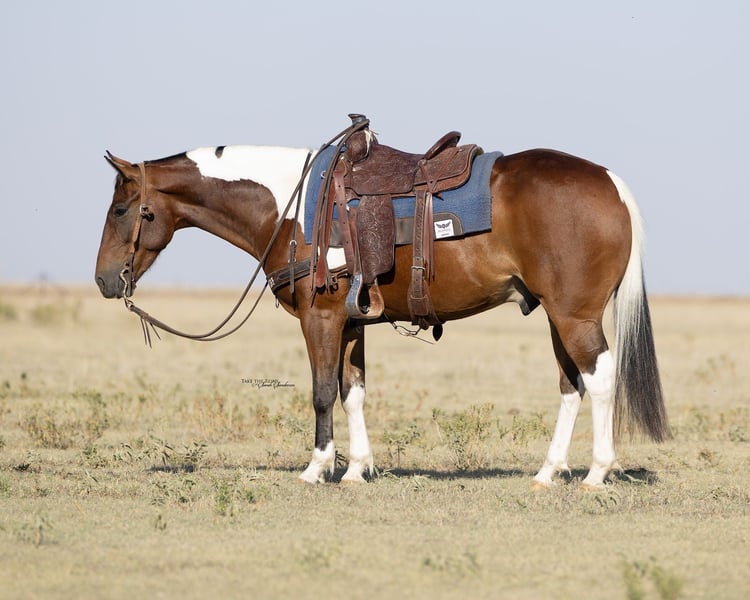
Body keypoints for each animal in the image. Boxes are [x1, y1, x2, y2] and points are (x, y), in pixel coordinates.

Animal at [95, 124, 669, 489]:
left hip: (574, 317)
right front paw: (356, 469)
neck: (293, 208)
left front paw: (317, 468)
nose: (103, 280)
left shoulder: (321, 318)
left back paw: (597, 473)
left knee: (599, 378)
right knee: (571, 385)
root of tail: (611, 183)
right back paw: (549, 473)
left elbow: (322, 392)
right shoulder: (352, 322)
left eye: (122, 209)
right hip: (556, 315)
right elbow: (354, 392)